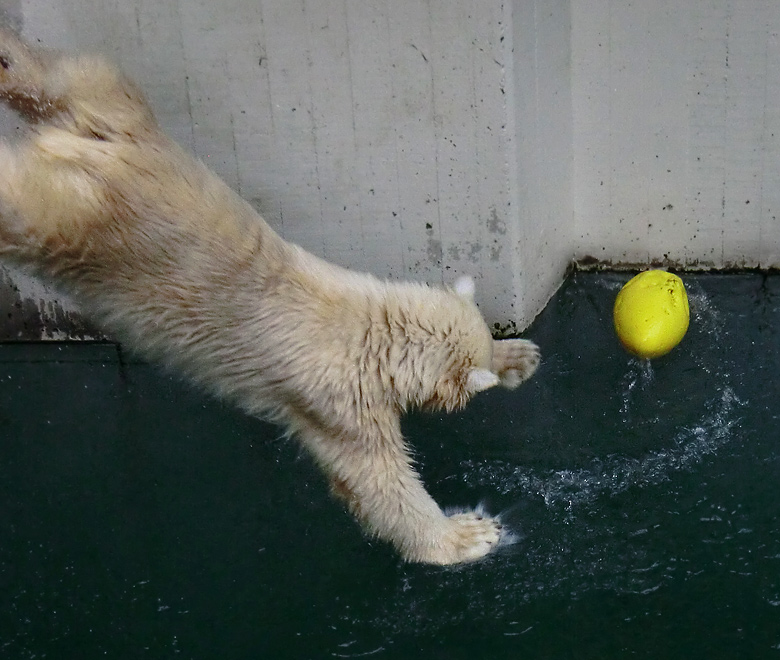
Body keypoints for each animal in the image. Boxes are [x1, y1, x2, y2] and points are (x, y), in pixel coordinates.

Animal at [0, 31, 540, 564]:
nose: (501, 366)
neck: (372, 326)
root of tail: (87, 159)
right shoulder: (339, 402)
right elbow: (375, 481)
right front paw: (468, 534)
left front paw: (520, 355)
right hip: (74, 221)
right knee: (22, 201)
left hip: (118, 119)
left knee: (69, 78)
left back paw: (9, 57)